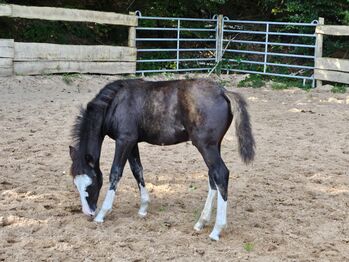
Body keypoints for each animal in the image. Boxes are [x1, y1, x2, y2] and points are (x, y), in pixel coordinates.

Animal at [68, 78, 253, 242]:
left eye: (91, 184)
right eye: (76, 184)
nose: (88, 212)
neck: (115, 103)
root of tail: (223, 92)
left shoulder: (124, 140)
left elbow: (115, 172)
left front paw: (102, 214)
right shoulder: (132, 143)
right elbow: (137, 171)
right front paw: (143, 208)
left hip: (206, 146)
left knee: (221, 174)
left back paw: (216, 230)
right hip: (214, 146)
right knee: (212, 177)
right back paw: (201, 222)